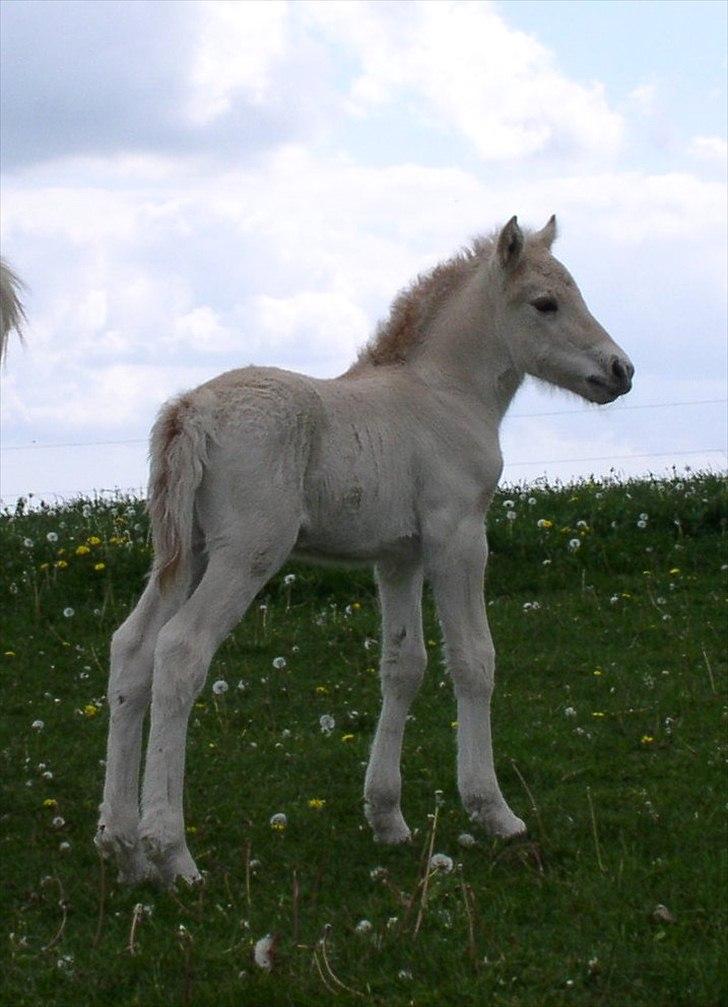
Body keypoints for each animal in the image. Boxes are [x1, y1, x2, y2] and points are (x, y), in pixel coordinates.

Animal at [95, 216, 632, 886]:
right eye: (546, 303)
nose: (621, 370)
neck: (445, 393)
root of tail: (191, 411)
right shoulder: (458, 536)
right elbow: (474, 660)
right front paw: (493, 811)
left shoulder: (398, 555)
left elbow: (404, 666)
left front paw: (387, 818)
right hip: (246, 553)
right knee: (180, 652)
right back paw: (171, 852)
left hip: (183, 555)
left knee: (132, 650)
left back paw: (123, 847)